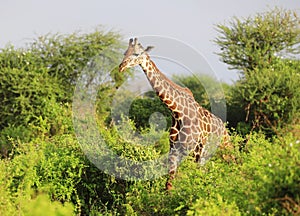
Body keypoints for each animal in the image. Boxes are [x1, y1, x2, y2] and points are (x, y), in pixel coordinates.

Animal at [118, 38, 230, 190]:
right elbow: (169, 184)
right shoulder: (174, 151)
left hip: (223, 149)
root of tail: (225, 129)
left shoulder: (194, 150)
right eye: (125, 52)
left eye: (137, 53)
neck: (177, 112)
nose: (121, 66)